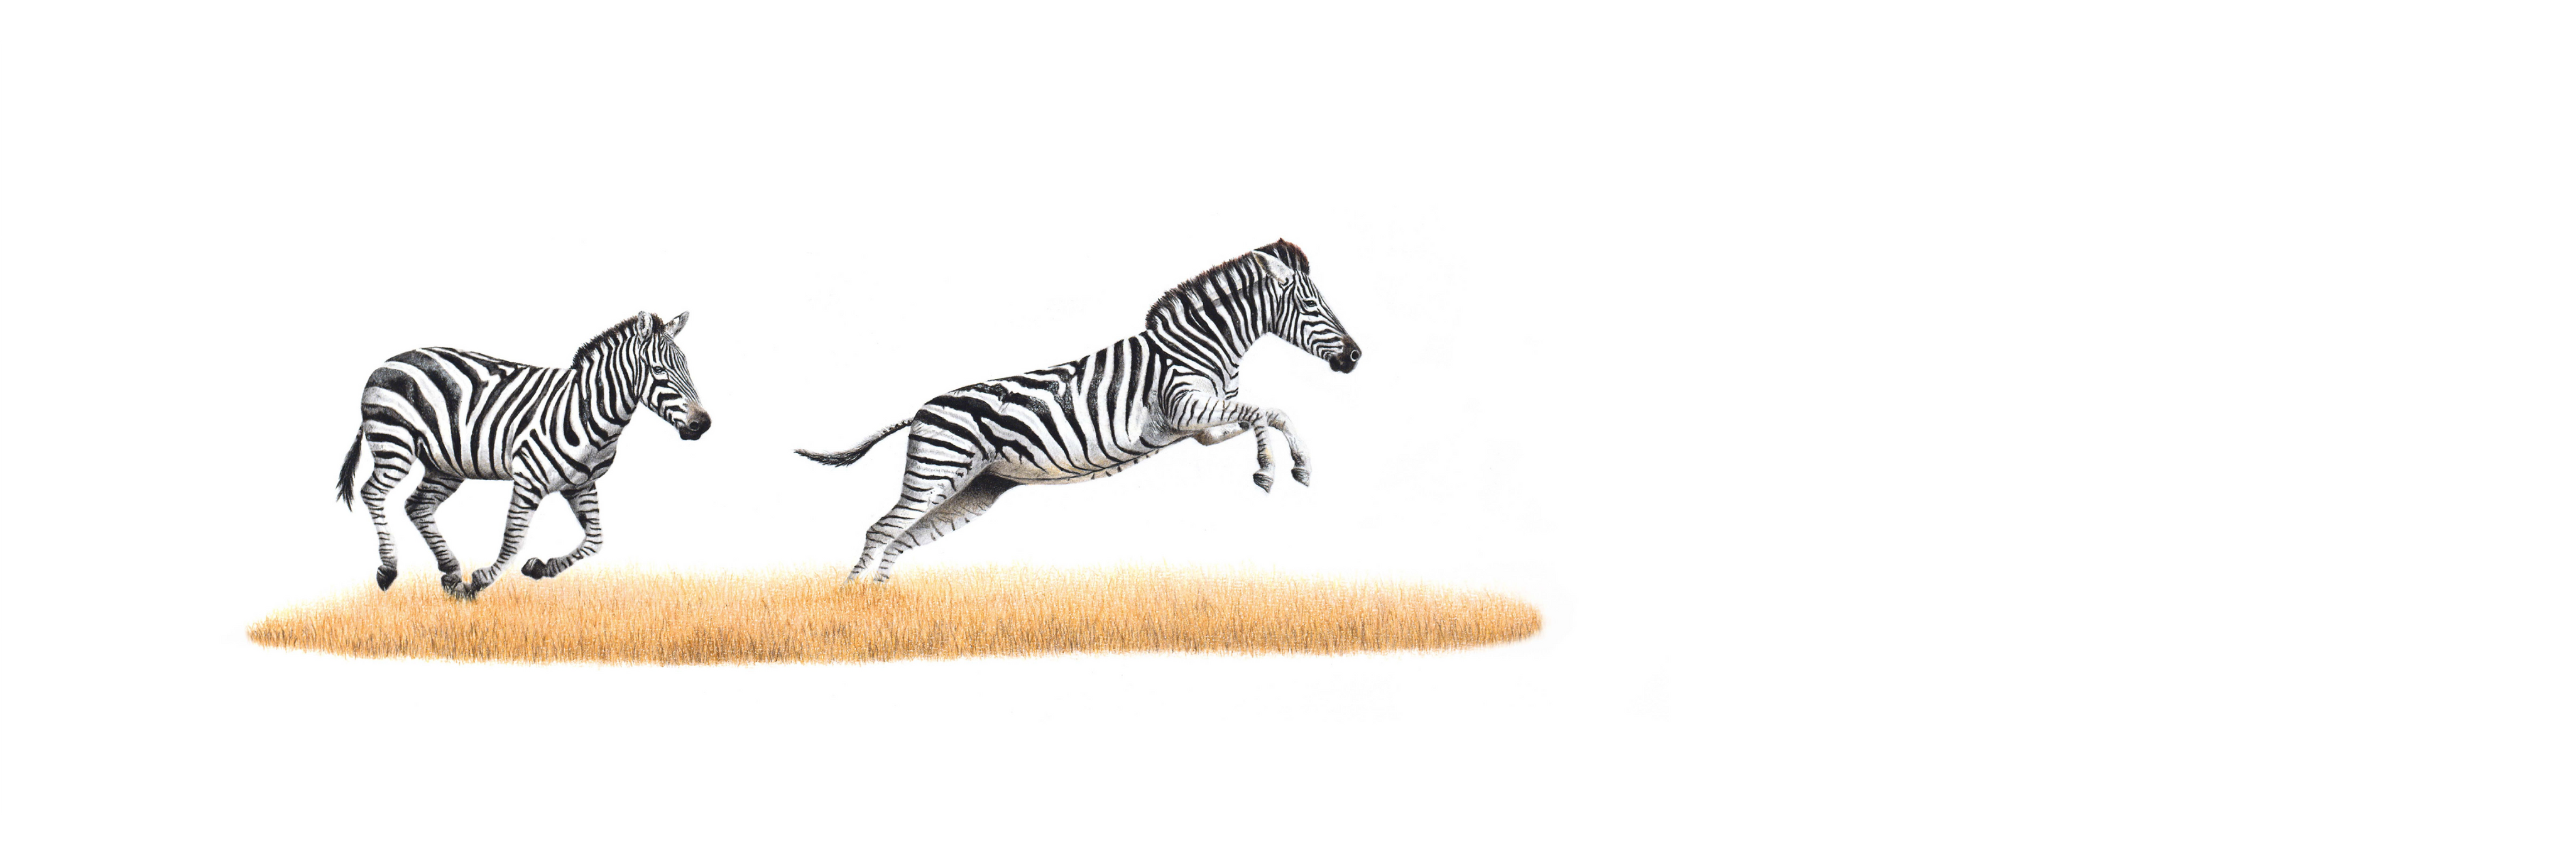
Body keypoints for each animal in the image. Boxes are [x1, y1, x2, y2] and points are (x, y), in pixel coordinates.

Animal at [335, 311, 713, 598]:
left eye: (686, 366)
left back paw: (451, 571)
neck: (590, 412)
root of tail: (389, 362)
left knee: (418, 505)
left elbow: (595, 540)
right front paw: (481, 581)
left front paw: (540, 567)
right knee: (373, 493)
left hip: (444, 464)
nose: (703, 424)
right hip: (394, 443)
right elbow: (514, 538)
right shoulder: (529, 478)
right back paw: (389, 569)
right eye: (659, 371)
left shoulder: (581, 485)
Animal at [796, 240, 1361, 582]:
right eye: (1313, 308)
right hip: (937, 471)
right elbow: (1271, 411)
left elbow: (1261, 415)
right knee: (880, 531)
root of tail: (919, 411)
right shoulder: (1184, 406)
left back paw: (883, 612)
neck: (1201, 345)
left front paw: (1284, 468)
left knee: (900, 540)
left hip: (971, 490)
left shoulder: (1201, 425)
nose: (1355, 357)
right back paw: (850, 609)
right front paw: (1281, 469)